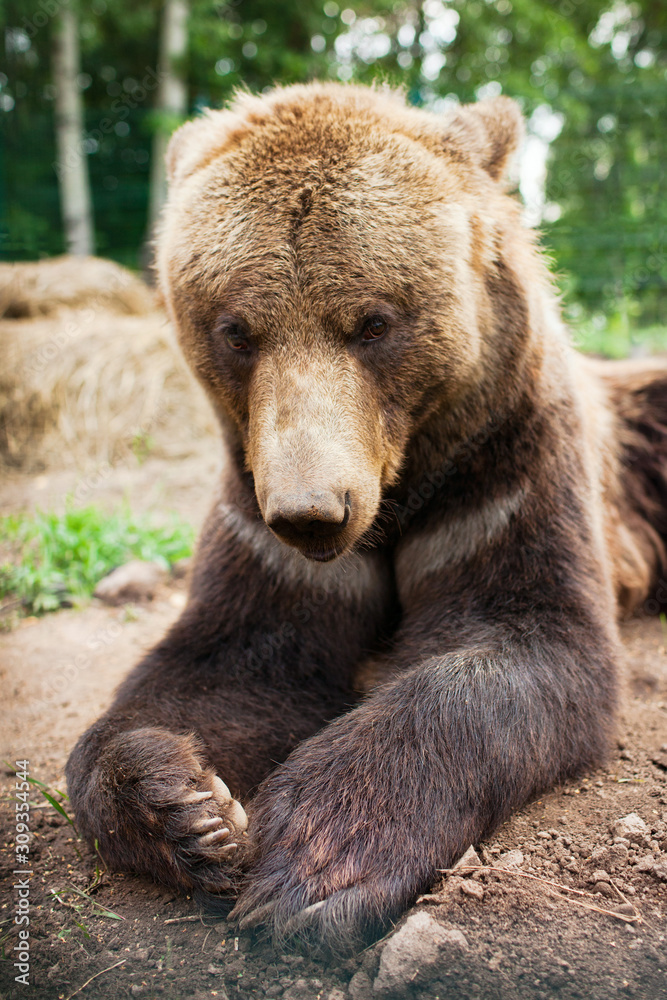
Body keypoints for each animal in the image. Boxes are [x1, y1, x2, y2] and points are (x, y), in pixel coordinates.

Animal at [65, 86, 667, 952]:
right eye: (235, 330)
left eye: (374, 321)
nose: (311, 515)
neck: (400, 492)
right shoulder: (258, 526)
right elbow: (227, 664)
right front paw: (185, 802)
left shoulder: (503, 481)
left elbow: (525, 643)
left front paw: (318, 857)